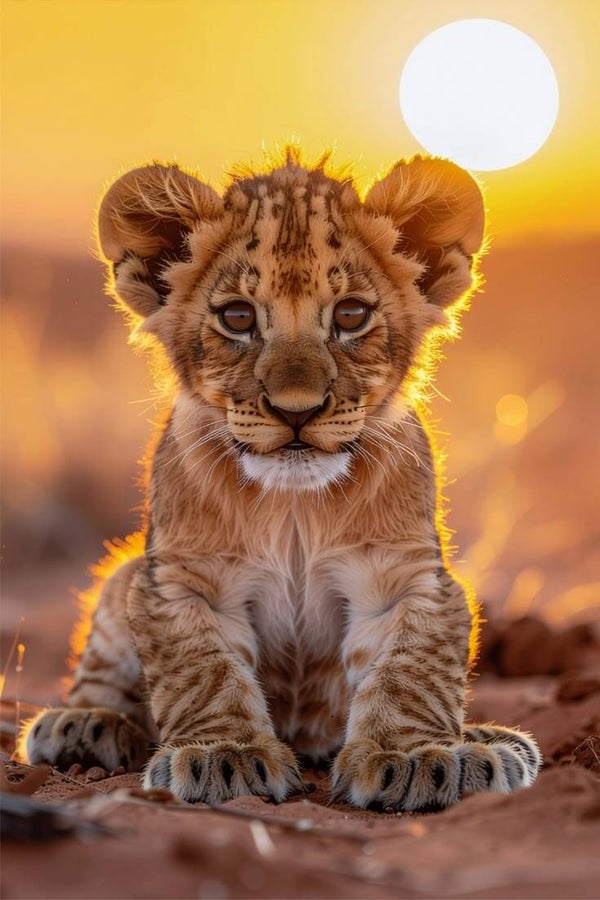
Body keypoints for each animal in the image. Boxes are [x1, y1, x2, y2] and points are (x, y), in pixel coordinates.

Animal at [25, 149, 541, 810]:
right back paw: (86, 723)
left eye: (351, 315)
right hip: (122, 579)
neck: (295, 504)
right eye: (238, 317)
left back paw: (493, 743)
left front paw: (414, 758)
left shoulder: (409, 579)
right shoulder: (181, 580)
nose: (297, 410)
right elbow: (205, 673)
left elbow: (411, 672)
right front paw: (226, 756)